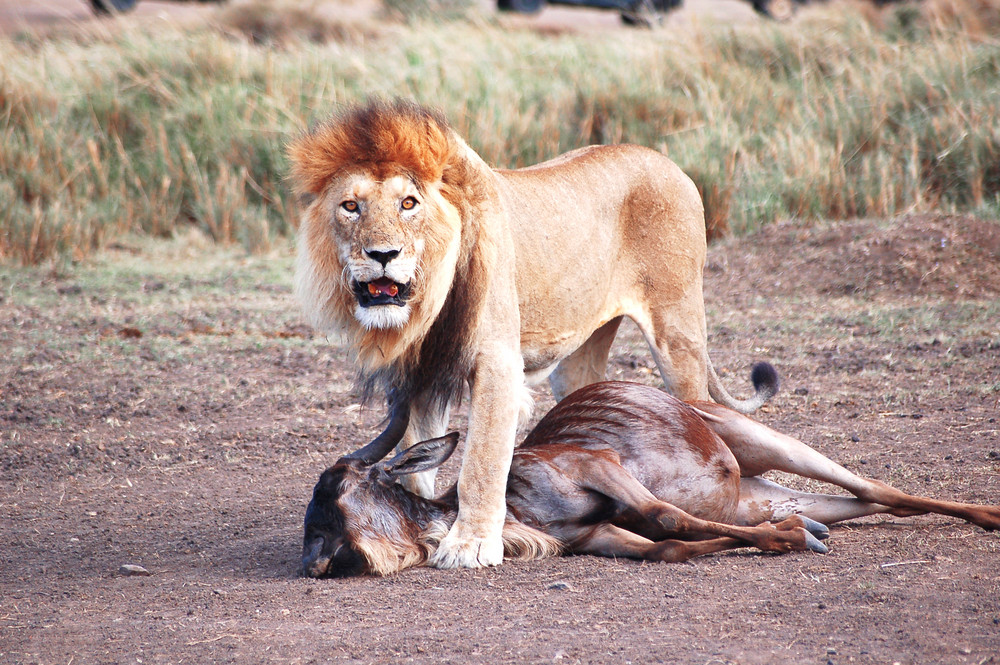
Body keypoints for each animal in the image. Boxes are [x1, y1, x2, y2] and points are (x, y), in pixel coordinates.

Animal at [286, 98, 776, 572]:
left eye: (408, 204)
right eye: (351, 206)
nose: (383, 254)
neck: (426, 299)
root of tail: (667, 161)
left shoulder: (499, 363)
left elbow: (481, 461)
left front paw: (469, 545)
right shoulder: (419, 379)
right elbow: (415, 461)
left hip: (678, 332)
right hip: (579, 356)